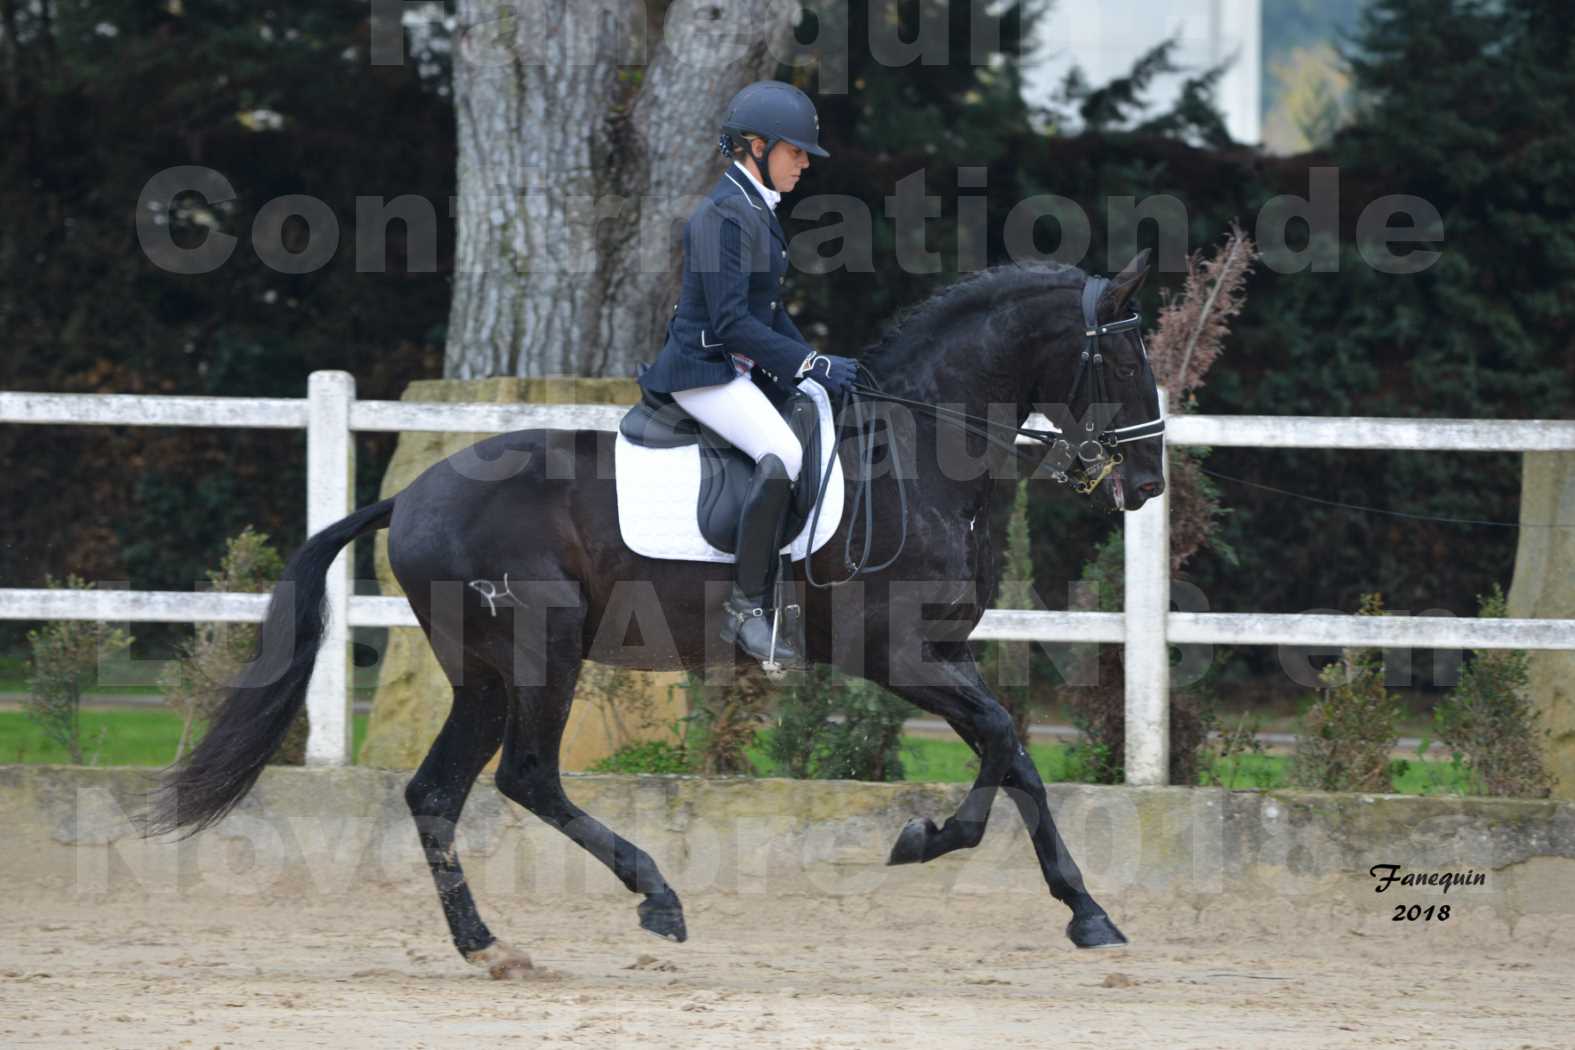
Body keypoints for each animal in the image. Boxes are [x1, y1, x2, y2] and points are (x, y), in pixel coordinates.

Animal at [144, 251, 1159, 976]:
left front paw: (1084, 911)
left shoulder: (944, 650)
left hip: (483, 671)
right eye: (1119, 355)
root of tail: (411, 496)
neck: (917, 453)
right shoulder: (895, 650)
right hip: (541, 650)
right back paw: (656, 897)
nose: (1145, 483)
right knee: (527, 778)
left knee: (437, 792)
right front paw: (927, 841)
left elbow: (1011, 750)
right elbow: (1000, 738)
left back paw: (489, 947)